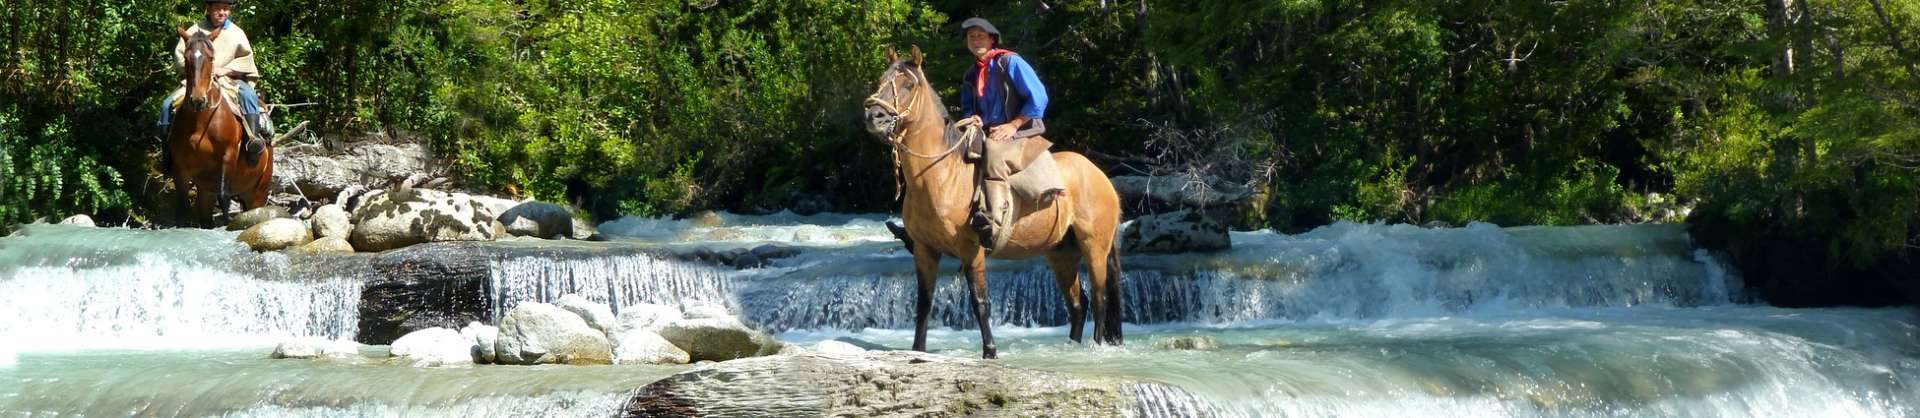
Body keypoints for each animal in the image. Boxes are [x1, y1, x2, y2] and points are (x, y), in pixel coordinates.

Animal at [168, 26, 270, 225]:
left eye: (211, 58)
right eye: (187, 57)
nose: (197, 100)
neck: (201, 122)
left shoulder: (228, 157)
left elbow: (224, 197)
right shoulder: (181, 166)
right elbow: (182, 204)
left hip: (259, 192)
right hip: (207, 191)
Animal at [860, 46, 1121, 358]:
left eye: (908, 85)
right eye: (881, 81)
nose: (874, 116)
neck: (941, 176)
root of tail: (1102, 177)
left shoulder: (971, 249)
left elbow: (979, 301)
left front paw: (990, 351)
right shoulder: (925, 250)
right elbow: (924, 303)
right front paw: (918, 349)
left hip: (1095, 246)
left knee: (1100, 297)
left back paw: (1095, 347)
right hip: (1061, 252)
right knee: (1078, 304)